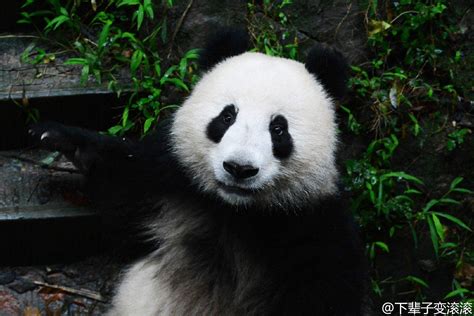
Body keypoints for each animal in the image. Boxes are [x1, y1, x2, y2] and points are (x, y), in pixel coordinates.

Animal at [30, 29, 366, 314]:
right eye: (227, 116)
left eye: (279, 129)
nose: (239, 168)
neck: (236, 211)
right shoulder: (170, 184)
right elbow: (123, 194)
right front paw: (61, 138)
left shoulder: (313, 227)